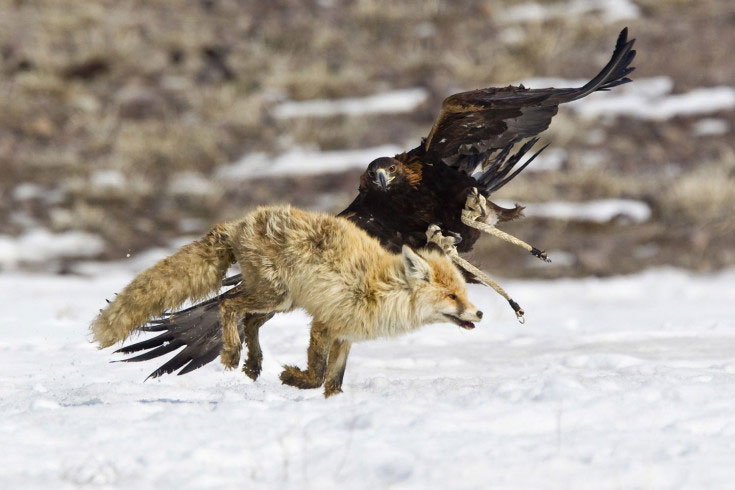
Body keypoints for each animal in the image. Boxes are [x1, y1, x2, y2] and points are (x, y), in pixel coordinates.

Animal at [92, 205, 484, 396]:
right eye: (451, 295)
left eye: (463, 292)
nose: (479, 312)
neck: (379, 289)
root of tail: (240, 223)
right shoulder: (324, 325)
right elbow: (317, 374)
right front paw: (293, 379)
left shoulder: (345, 335)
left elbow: (333, 382)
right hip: (274, 295)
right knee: (228, 306)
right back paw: (233, 354)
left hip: (280, 302)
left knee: (248, 319)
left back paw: (253, 363)